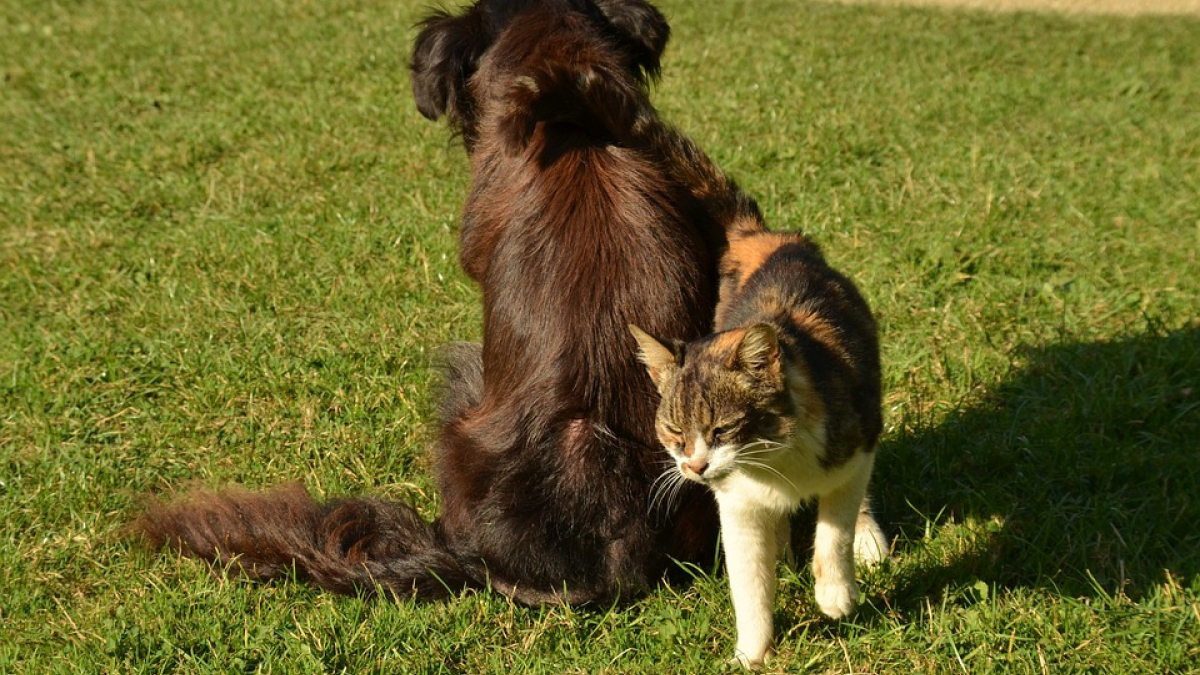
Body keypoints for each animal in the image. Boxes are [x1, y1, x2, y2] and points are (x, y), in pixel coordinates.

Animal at [633, 227, 888, 667]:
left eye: (722, 429)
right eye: (674, 431)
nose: (695, 467)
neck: (774, 459)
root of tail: (770, 237)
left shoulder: (855, 449)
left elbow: (834, 526)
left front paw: (835, 594)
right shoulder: (737, 504)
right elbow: (748, 582)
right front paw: (750, 654)